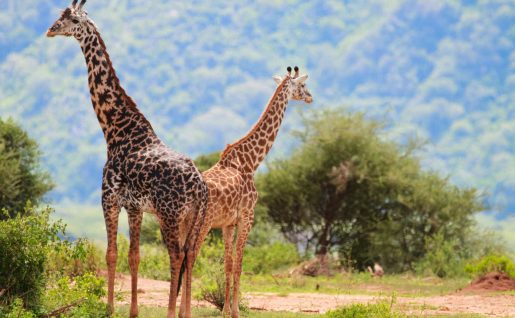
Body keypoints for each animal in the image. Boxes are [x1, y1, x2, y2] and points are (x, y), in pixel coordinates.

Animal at [46, 1, 208, 316]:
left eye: (70, 19)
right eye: (59, 16)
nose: (50, 30)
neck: (114, 129)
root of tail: (199, 186)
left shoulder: (108, 198)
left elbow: (111, 253)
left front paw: (108, 308)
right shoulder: (135, 207)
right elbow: (134, 256)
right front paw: (132, 311)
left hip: (169, 215)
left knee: (175, 255)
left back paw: (171, 312)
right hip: (193, 218)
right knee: (190, 254)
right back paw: (185, 311)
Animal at [179, 66, 312, 316]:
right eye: (302, 85)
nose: (310, 97)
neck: (251, 161)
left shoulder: (228, 223)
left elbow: (228, 264)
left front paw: (224, 311)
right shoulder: (247, 217)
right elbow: (239, 264)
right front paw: (235, 312)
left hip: (181, 223)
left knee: (178, 255)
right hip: (202, 224)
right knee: (190, 256)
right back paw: (185, 311)